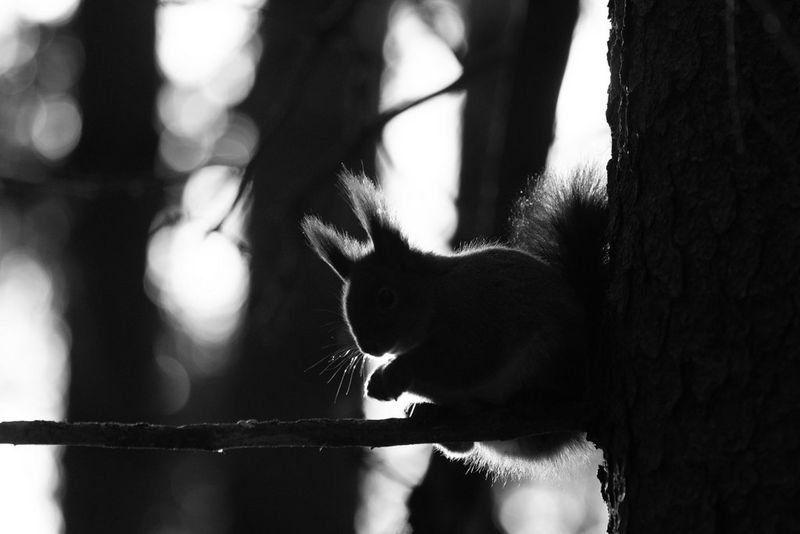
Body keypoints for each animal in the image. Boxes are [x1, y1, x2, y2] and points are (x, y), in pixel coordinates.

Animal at [301, 168, 607, 479]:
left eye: (386, 296)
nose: (368, 347)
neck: (437, 294)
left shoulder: (474, 318)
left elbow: (455, 363)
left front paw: (392, 372)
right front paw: (379, 382)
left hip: (555, 360)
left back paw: (534, 399)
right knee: (464, 444)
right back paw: (432, 412)